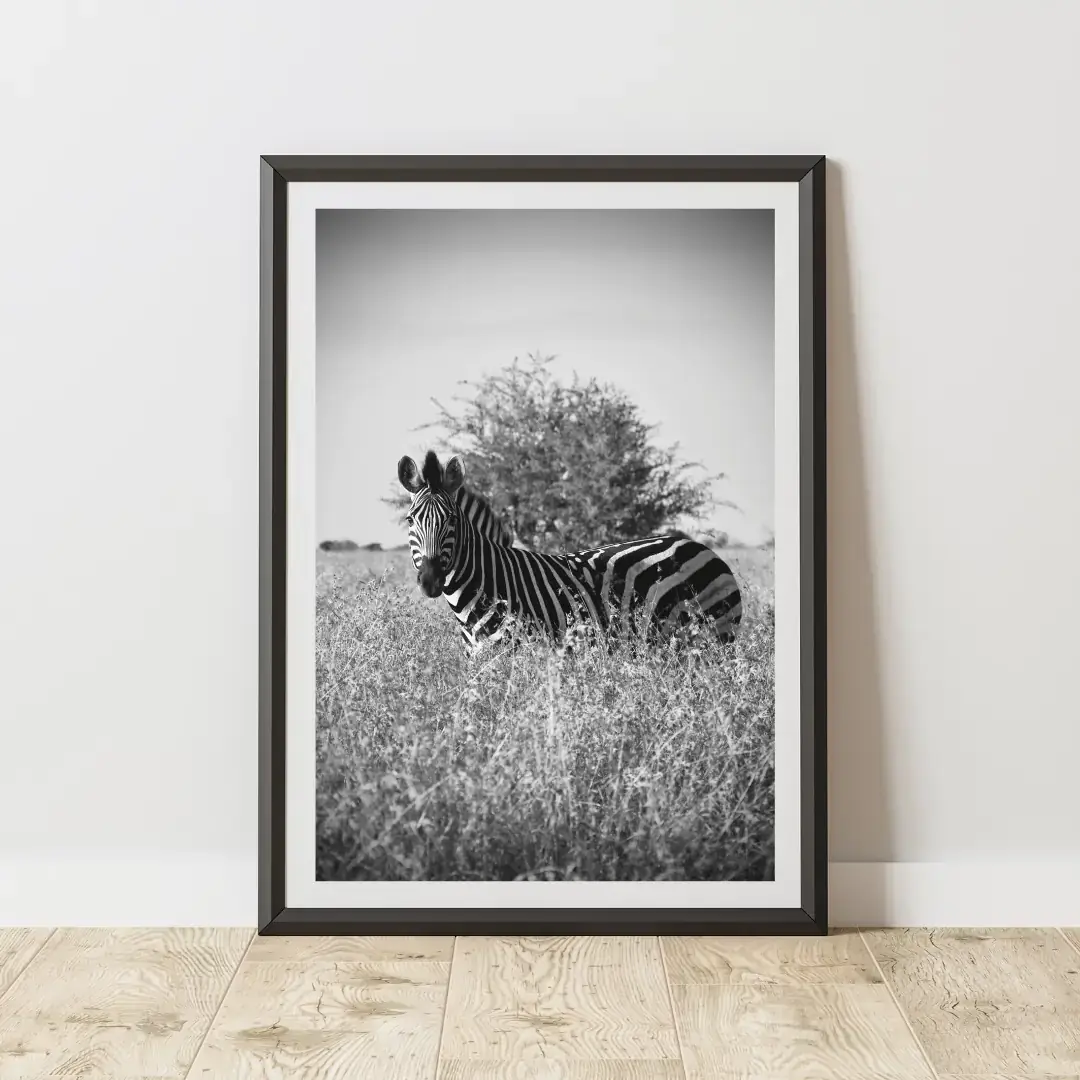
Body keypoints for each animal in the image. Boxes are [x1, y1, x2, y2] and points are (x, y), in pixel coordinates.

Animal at [398, 450, 742, 653]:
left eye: (452, 521)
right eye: (410, 520)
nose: (430, 580)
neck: (487, 583)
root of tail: (702, 547)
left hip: (712, 639)